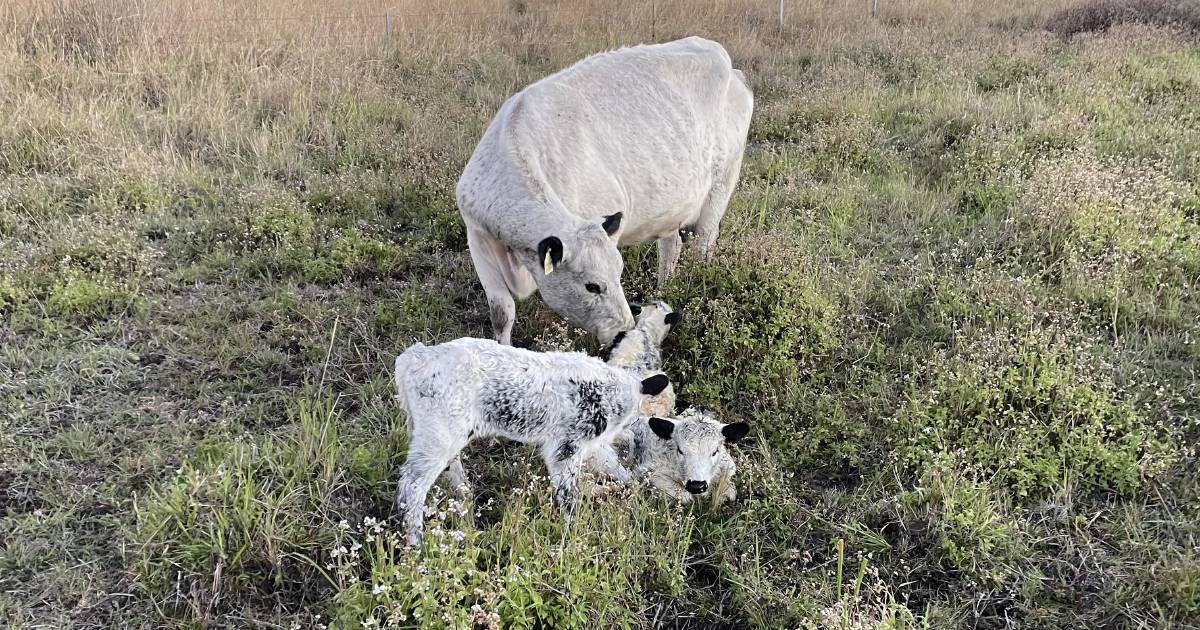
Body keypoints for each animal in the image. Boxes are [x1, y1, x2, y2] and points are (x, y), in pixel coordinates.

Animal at [396, 336, 676, 542]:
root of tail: (415, 357)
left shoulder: (588, 445)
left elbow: (612, 463)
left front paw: (632, 487)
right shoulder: (566, 447)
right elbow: (569, 494)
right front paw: (572, 533)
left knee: (454, 479)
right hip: (437, 436)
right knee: (411, 485)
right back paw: (416, 543)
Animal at [456, 35, 748, 343]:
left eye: (619, 273)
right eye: (592, 286)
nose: (624, 329)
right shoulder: (478, 237)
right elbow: (502, 313)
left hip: (722, 185)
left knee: (704, 244)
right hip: (673, 208)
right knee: (672, 247)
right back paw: (662, 290)